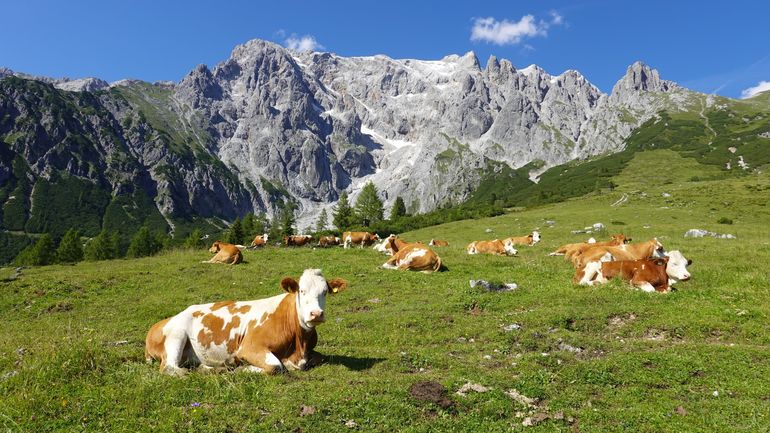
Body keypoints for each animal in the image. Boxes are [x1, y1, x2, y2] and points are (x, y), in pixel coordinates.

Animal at [145, 269, 348, 375]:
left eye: (325, 292)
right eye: (302, 291)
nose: (316, 314)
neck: (299, 345)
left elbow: (321, 358)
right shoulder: (250, 347)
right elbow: (276, 367)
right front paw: (244, 367)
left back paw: (207, 367)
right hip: (176, 335)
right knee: (170, 367)